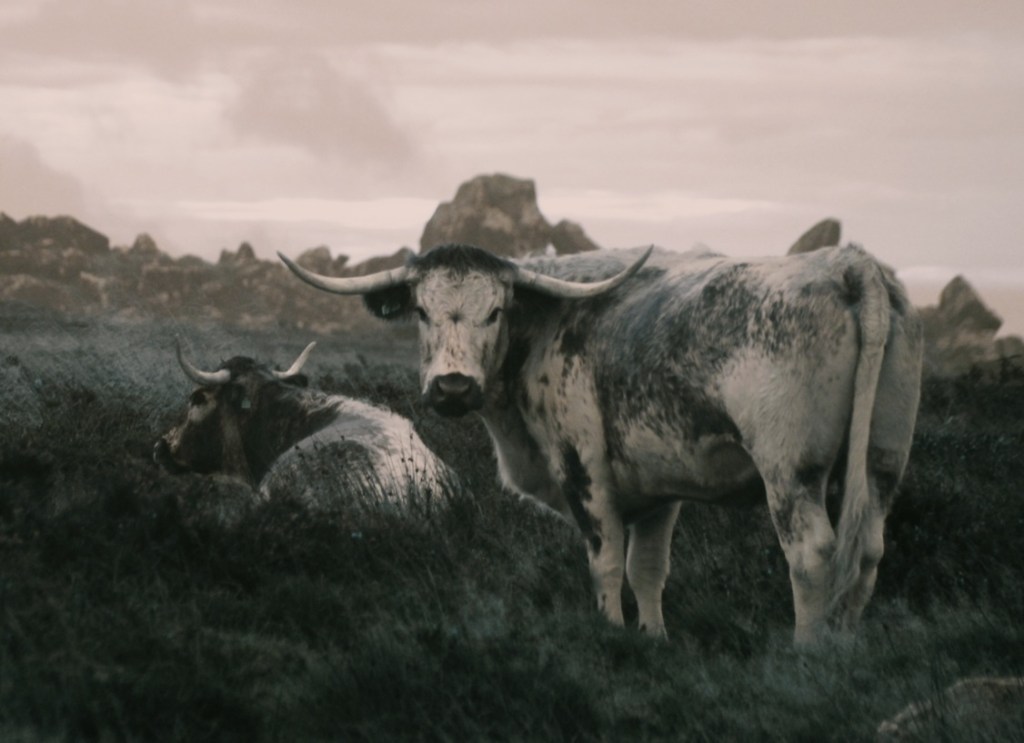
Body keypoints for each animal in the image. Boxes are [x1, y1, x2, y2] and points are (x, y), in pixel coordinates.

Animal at [278, 242, 923, 644]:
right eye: (420, 310)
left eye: (496, 310)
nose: (453, 386)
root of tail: (846, 263)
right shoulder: (661, 490)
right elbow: (649, 570)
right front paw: (653, 638)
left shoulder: (583, 471)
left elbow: (607, 563)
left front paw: (612, 634)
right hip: (882, 462)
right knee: (866, 551)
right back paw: (843, 646)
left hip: (791, 471)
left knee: (813, 554)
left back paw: (805, 652)